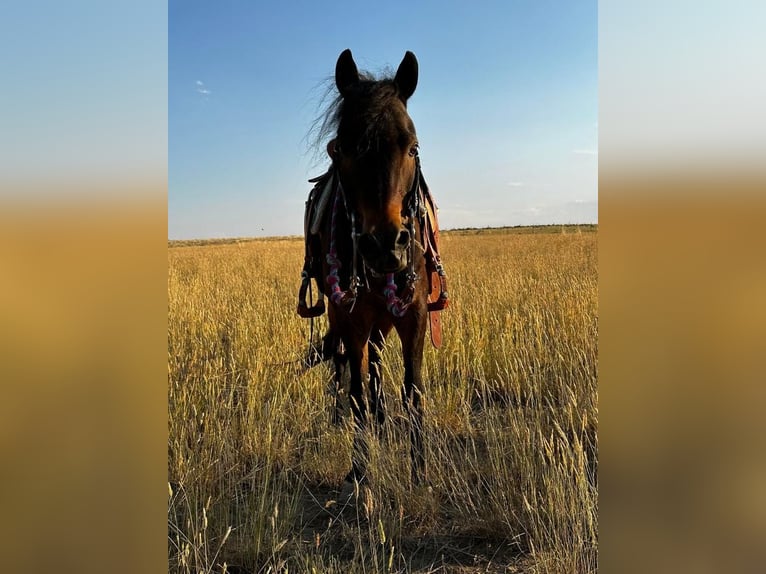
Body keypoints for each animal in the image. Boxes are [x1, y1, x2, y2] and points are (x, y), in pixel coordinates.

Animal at [298, 51, 448, 488]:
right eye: (341, 149)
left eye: (412, 148)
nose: (384, 245)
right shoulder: (351, 316)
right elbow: (356, 390)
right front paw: (359, 470)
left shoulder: (414, 313)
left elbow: (413, 391)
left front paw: (419, 472)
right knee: (344, 365)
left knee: (377, 362)